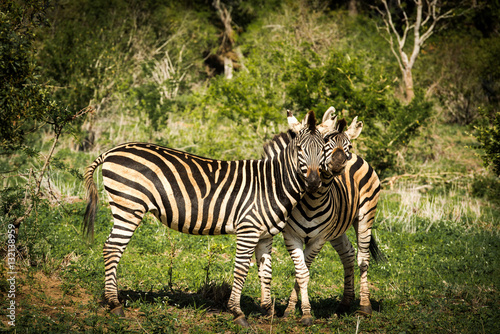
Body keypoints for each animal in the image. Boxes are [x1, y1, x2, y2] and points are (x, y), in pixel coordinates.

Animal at [82, 110, 332, 326]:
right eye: (299, 148)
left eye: (323, 150)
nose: (313, 183)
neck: (272, 184)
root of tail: (112, 151)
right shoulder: (248, 230)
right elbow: (241, 269)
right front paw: (238, 312)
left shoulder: (265, 235)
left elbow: (266, 272)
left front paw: (267, 310)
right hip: (129, 206)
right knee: (112, 248)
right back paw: (114, 304)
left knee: (110, 247)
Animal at [260, 107, 380, 326]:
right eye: (326, 143)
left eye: (348, 145)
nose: (338, 163)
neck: (312, 201)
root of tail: (357, 157)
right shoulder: (292, 236)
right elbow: (301, 271)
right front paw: (291, 309)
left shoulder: (318, 239)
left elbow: (304, 271)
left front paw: (304, 312)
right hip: (337, 229)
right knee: (348, 254)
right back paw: (344, 304)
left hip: (365, 217)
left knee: (363, 259)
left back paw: (365, 306)